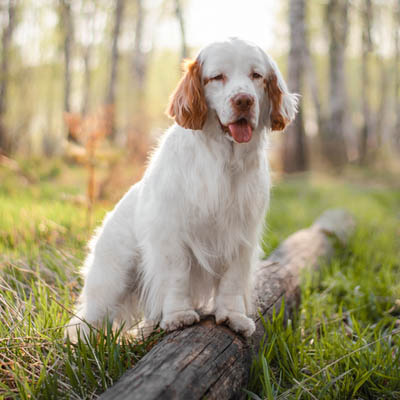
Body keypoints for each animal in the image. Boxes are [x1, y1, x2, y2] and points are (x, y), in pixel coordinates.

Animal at [65, 37, 296, 340]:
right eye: (217, 77)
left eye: (256, 75)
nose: (244, 100)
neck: (223, 161)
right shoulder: (171, 232)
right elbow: (176, 276)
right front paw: (178, 316)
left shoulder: (241, 235)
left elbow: (232, 281)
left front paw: (232, 316)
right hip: (112, 278)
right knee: (84, 319)